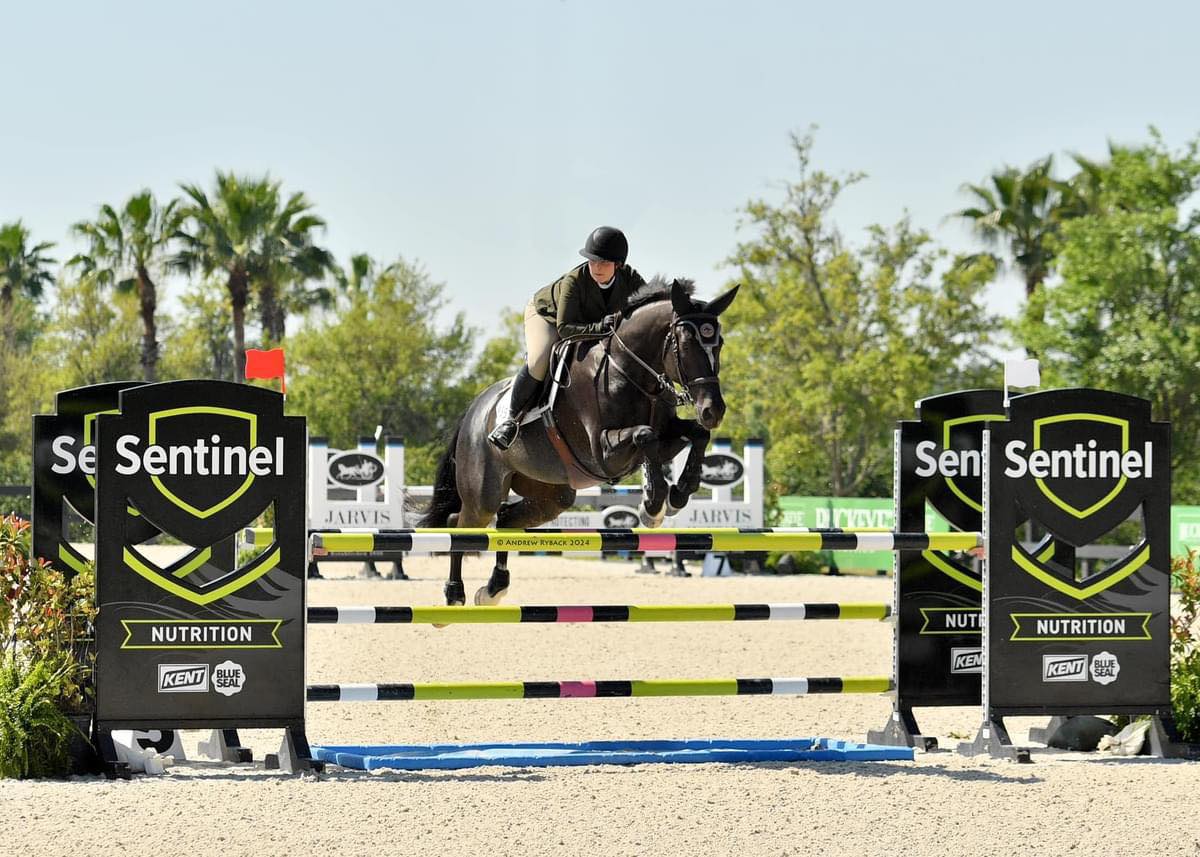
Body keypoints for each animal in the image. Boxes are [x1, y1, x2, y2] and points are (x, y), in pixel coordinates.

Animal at [419, 277, 739, 607]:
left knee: (505, 519)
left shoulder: (665, 435)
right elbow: (644, 435)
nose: (713, 410)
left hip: (552, 495)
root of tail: (475, 410)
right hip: (484, 494)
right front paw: (652, 506)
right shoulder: (603, 452)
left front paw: (678, 494)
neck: (629, 371)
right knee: (461, 523)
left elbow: (697, 435)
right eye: (686, 344)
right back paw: (455, 592)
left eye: (720, 344)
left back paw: (494, 588)